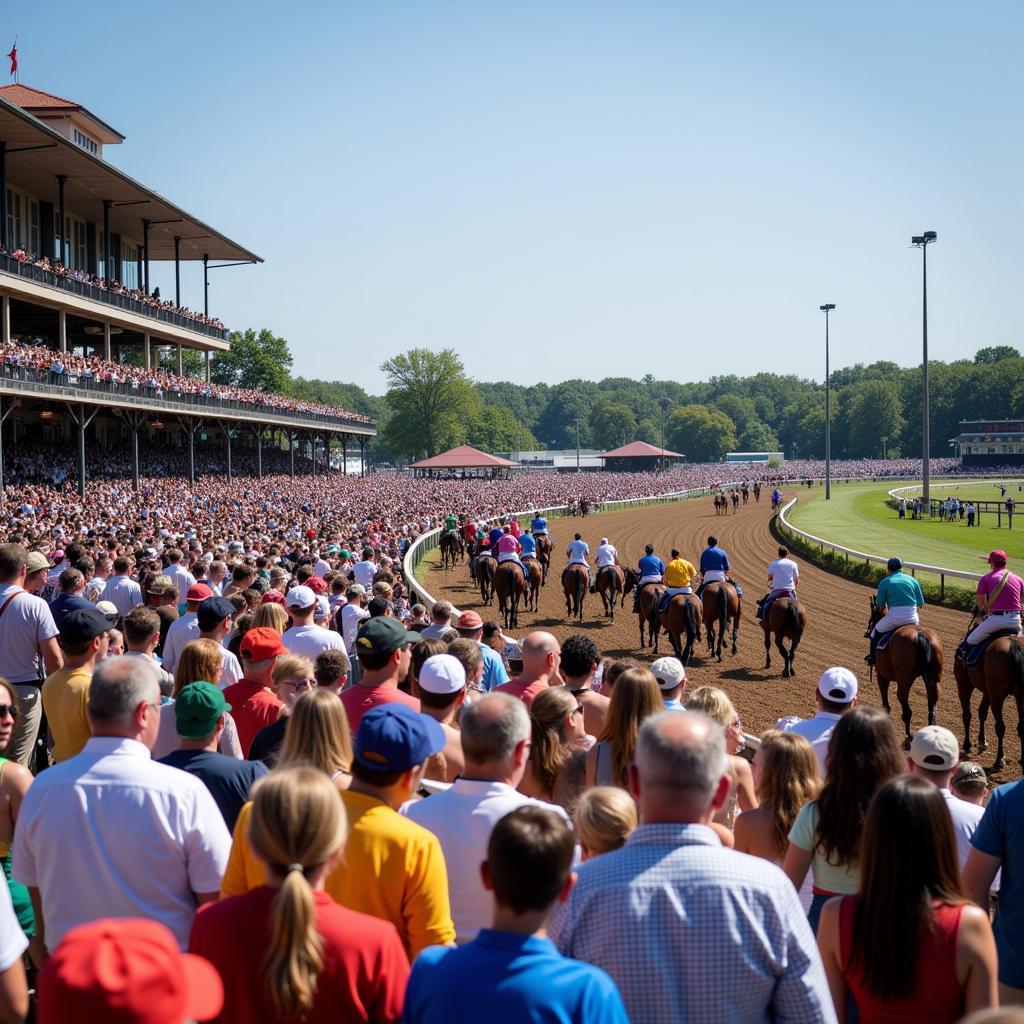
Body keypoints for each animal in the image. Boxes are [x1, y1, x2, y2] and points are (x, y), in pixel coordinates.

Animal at [868, 598, 946, 753]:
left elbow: (886, 703)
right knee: (932, 708)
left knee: (906, 709)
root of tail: (920, 635)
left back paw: (908, 739)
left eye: (873, 613)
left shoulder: (882, 674)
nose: (867, 632)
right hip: (933, 680)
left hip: (904, 679)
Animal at [954, 606, 1019, 770]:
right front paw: (982, 741)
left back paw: (999, 759)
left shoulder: (964, 683)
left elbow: (967, 714)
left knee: (1000, 726)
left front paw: (967, 744)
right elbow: (982, 712)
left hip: (996, 694)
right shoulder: (988, 691)